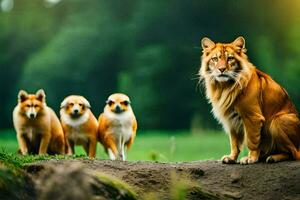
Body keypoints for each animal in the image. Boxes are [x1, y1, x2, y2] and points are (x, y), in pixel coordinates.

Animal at [199, 36, 300, 164]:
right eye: (215, 59)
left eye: (230, 58)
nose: (222, 69)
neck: (224, 87)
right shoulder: (231, 119)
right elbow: (234, 142)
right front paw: (231, 158)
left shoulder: (252, 117)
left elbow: (252, 141)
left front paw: (250, 158)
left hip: (277, 121)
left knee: (294, 153)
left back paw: (272, 157)